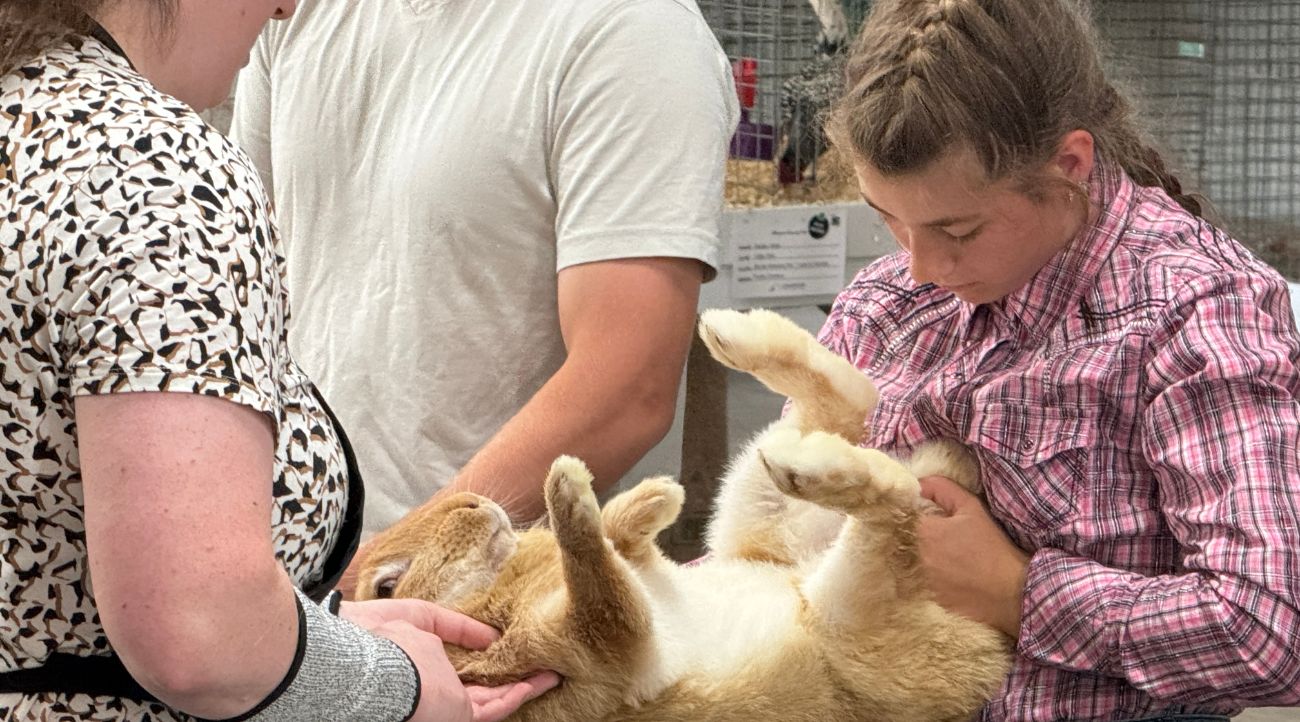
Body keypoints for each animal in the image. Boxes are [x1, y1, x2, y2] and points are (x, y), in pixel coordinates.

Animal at [358, 308, 1013, 718]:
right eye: (385, 587)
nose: (472, 502)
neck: (491, 595)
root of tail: (985, 651)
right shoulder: (591, 656)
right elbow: (606, 599)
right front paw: (569, 489)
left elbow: (618, 558)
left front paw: (643, 501)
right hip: (852, 611)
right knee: (890, 502)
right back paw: (815, 464)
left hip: (756, 510)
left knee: (851, 407)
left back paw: (731, 333)